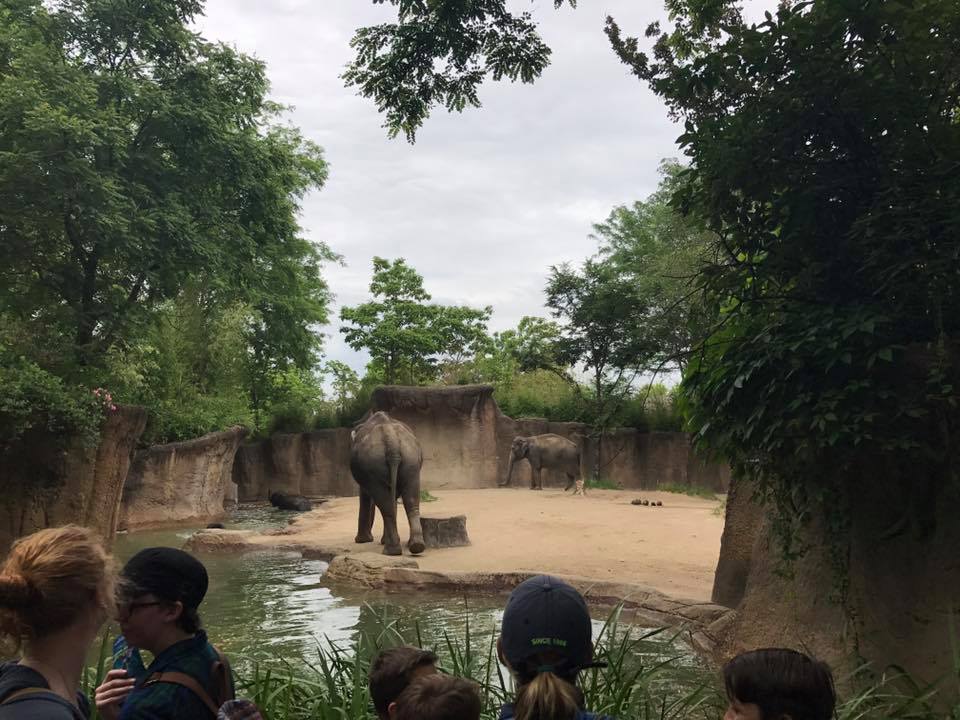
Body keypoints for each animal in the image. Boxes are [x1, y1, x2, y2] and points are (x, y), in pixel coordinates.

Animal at [350, 411, 425, 556]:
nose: (370, 537)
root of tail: (391, 439)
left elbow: (365, 495)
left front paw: (362, 541)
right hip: (410, 459)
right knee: (411, 499)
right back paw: (416, 546)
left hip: (374, 464)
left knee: (385, 503)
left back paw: (391, 551)